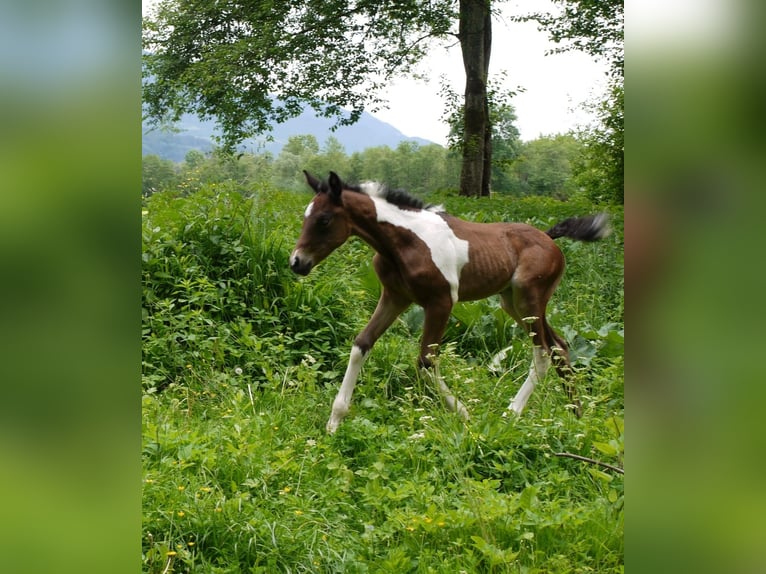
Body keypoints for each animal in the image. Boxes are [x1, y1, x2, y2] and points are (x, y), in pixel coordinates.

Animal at [290, 171, 610, 433]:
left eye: (323, 220)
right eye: (305, 217)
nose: (297, 262)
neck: (404, 242)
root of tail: (548, 236)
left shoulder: (441, 303)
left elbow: (425, 361)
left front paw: (465, 416)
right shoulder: (395, 297)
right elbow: (361, 344)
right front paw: (334, 421)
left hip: (529, 301)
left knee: (542, 351)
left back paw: (511, 414)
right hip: (512, 303)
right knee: (560, 346)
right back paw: (576, 415)